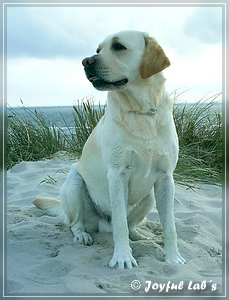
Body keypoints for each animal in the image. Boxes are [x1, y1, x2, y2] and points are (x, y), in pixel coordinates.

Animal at [33, 30, 185, 270]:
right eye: (98, 50)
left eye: (119, 47)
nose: (86, 61)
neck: (140, 111)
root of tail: (102, 224)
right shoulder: (117, 175)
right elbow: (120, 224)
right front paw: (123, 258)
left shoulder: (165, 177)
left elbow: (170, 226)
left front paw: (173, 258)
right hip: (74, 182)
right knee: (77, 224)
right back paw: (83, 235)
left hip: (150, 195)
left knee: (129, 226)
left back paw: (140, 235)